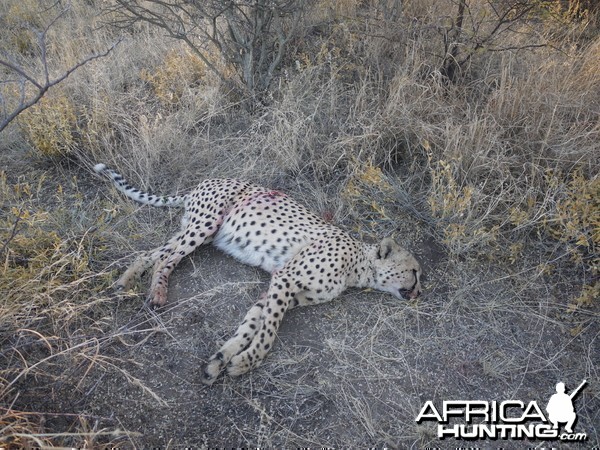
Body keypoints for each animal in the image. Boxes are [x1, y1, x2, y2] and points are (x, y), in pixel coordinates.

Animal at [95, 163, 422, 384]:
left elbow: (250, 325)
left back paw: (126, 281)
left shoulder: (281, 292)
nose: (419, 293)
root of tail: (205, 181)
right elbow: (268, 332)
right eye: (415, 272)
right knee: (165, 259)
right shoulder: (284, 279)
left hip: (197, 230)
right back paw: (156, 292)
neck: (357, 265)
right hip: (206, 224)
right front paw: (246, 362)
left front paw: (219, 362)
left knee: (152, 253)